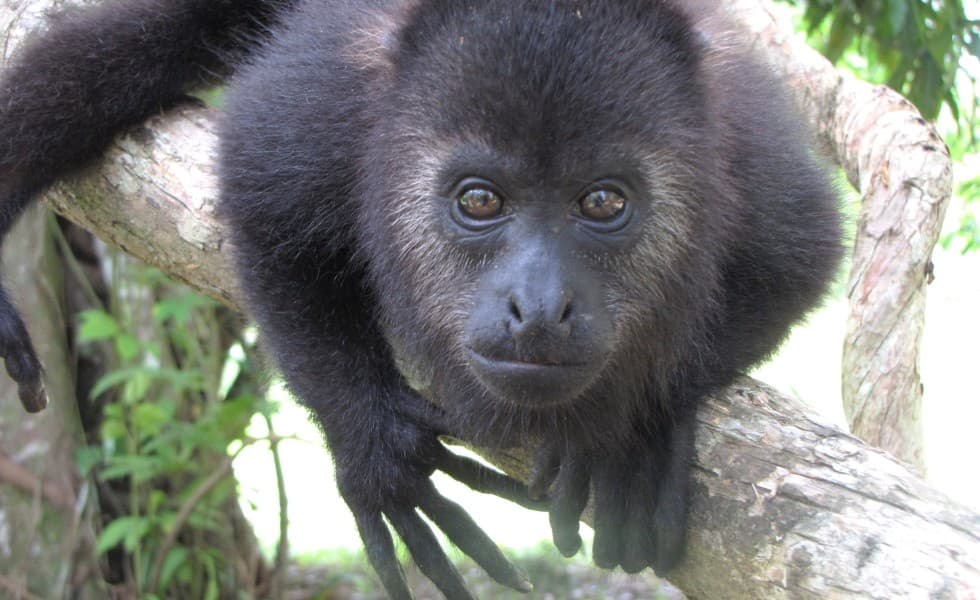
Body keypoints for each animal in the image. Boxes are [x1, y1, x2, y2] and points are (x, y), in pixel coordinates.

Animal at [0, 0, 843, 598]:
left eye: (604, 201)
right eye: (479, 199)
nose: (539, 307)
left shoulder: (747, 149)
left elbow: (800, 261)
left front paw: (635, 436)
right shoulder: (328, 103)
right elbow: (265, 210)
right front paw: (374, 448)